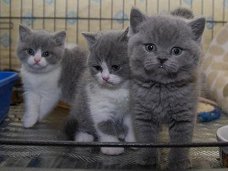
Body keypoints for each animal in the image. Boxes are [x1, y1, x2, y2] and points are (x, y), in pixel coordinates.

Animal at [64, 28, 135, 156]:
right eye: (97, 68)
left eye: (115, 67)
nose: (105, 78)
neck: (118, 90)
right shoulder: (99, 104)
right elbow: (104, 125)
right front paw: (112, 147)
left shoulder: (131, 107)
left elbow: (131, 124)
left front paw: (132, 140)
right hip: (80, 108)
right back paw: (84, 136)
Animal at [128, 7, 205, 169]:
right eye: (150, 47)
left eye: (176, 51)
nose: (162, 58)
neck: (161, 88)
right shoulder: (142, 112)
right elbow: (147, 138)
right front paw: (148, 158)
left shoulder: (184, 115)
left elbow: (180, 142)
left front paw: (178, 162)